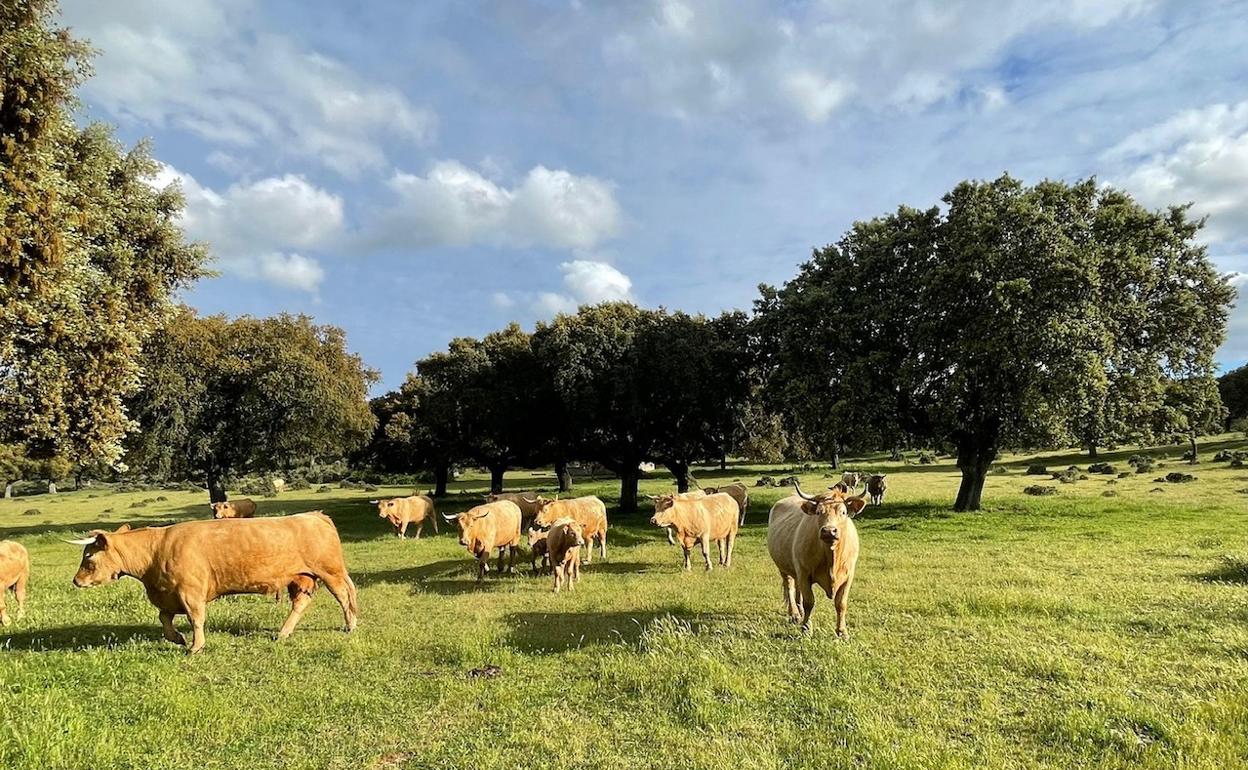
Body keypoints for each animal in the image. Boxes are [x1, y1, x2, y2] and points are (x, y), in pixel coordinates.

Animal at [66, 514, 359, 653]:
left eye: (88, 558)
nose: (76, 581)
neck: (156, 550)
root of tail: (314, 515)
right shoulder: (168, 595)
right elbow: (164, 619)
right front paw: (178, 638)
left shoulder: (190, 592)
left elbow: (196, 619)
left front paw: (195, 646)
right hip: (302, 578)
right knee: (301, 603)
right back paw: (283, 633)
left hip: (330, 572)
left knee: (344, 596)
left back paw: (350, 625)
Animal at [758, 479, 868, 636]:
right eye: (818, 512)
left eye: (843, 512)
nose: (829, 531)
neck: (832, 559)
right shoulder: (804, 573)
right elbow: (809, 602)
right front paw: (806, 628)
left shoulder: (848, 576)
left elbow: (841, 604)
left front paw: (842, 631)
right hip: (783, 567)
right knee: (790, 587)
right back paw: (795, 614)